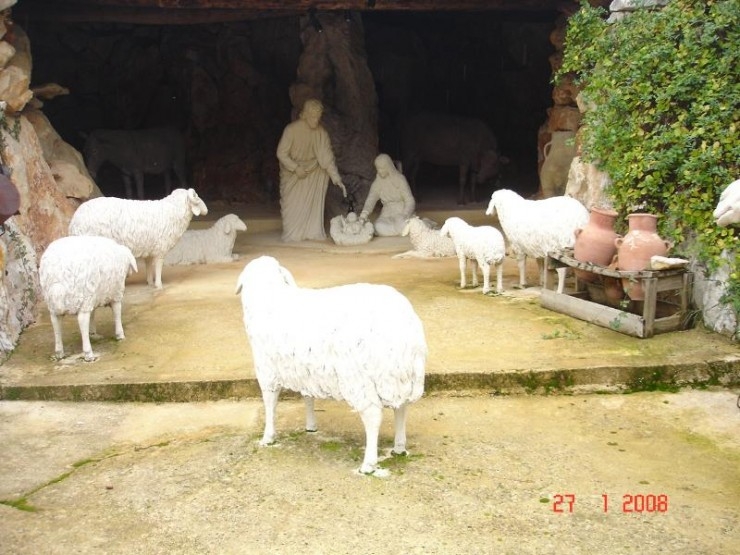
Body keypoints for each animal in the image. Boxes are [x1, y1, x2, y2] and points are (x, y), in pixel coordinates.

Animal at [69, 189, 208, 288]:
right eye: (196, 197)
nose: (206, 210)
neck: (173, 210)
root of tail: (74, 222)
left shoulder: (149, 248)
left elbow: (148, 265)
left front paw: (150, 282)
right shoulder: (160, 248)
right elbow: (158, 266)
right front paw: (159, 285)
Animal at [234, 256, 424, 478]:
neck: (269, 294)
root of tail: (403, 328)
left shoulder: (267, 370)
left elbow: (270, 404)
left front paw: (268, 437)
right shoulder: (306, 371)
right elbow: (307, 397)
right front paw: (311, 426)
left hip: (359, 378)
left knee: (373, 416)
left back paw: (368, 464)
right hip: (399, 377)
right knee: (401, 408)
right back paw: (399, 448)